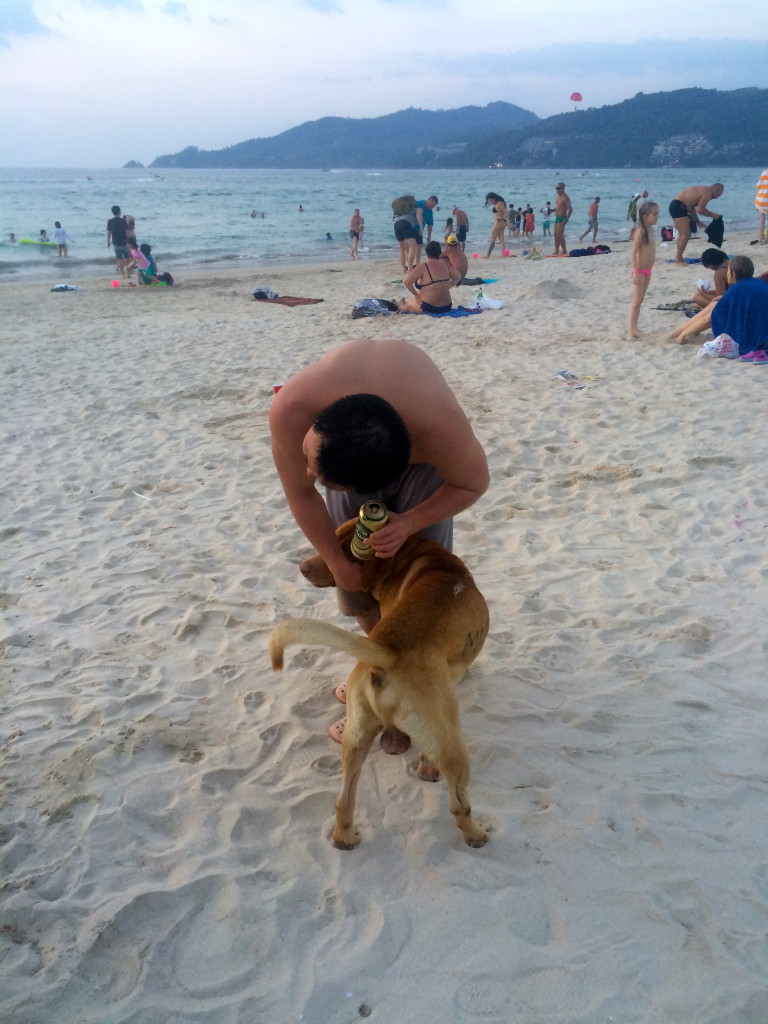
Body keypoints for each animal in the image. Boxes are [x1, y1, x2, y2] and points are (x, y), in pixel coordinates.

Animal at [268, 520, 489, 847]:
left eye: (342, 545)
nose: (302, 567)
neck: (419, 558)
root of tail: (388, 651)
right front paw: (428, 768)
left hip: (356, 738)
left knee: (343, 800)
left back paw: (345, 838)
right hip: (453, 747)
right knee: (459, 805)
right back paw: (476, 834)